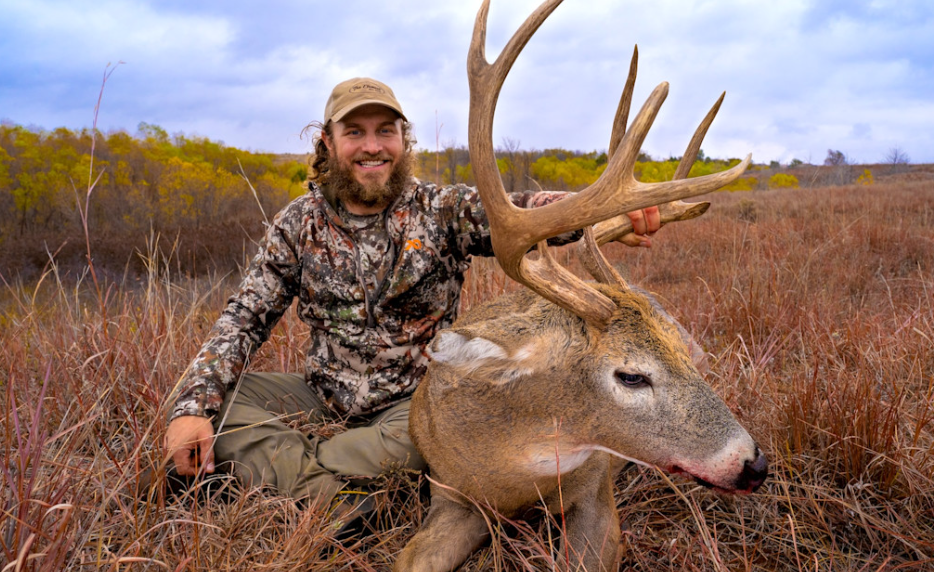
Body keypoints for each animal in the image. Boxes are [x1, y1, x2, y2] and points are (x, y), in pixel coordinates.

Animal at [394, 1, 767, 570]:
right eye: (631, 376)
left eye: (678, 355)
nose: (754, 463)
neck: (512, 468)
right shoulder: (451, 494)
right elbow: (408, 558)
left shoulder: (595, 493)